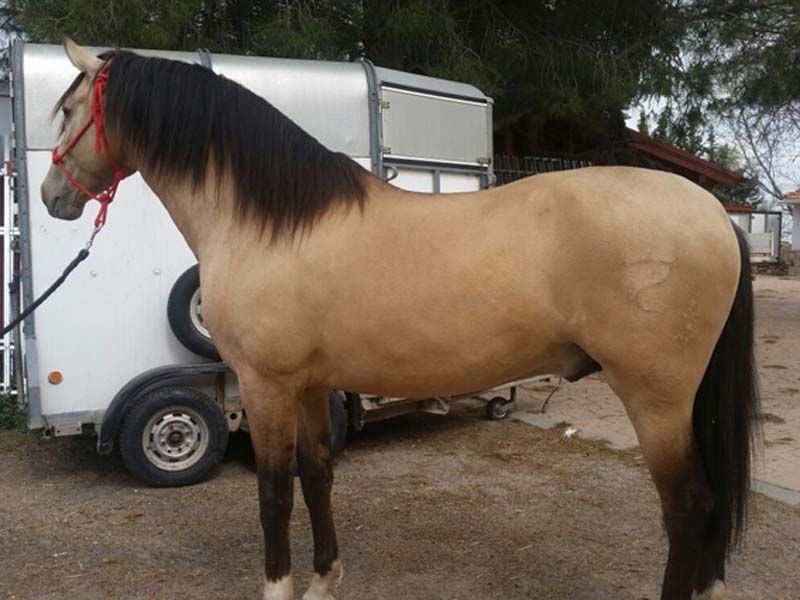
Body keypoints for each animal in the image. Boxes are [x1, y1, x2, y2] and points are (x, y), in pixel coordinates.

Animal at [40, 39, 760, 596]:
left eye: (68, 111)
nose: (51, 199)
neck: (271, 225)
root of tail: (712, 213)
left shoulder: (266, 384)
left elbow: (273, 494)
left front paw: (279, 587)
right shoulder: (309, 383)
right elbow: (317, 475)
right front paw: (324, 581)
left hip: (656, 396)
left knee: (689, 506)